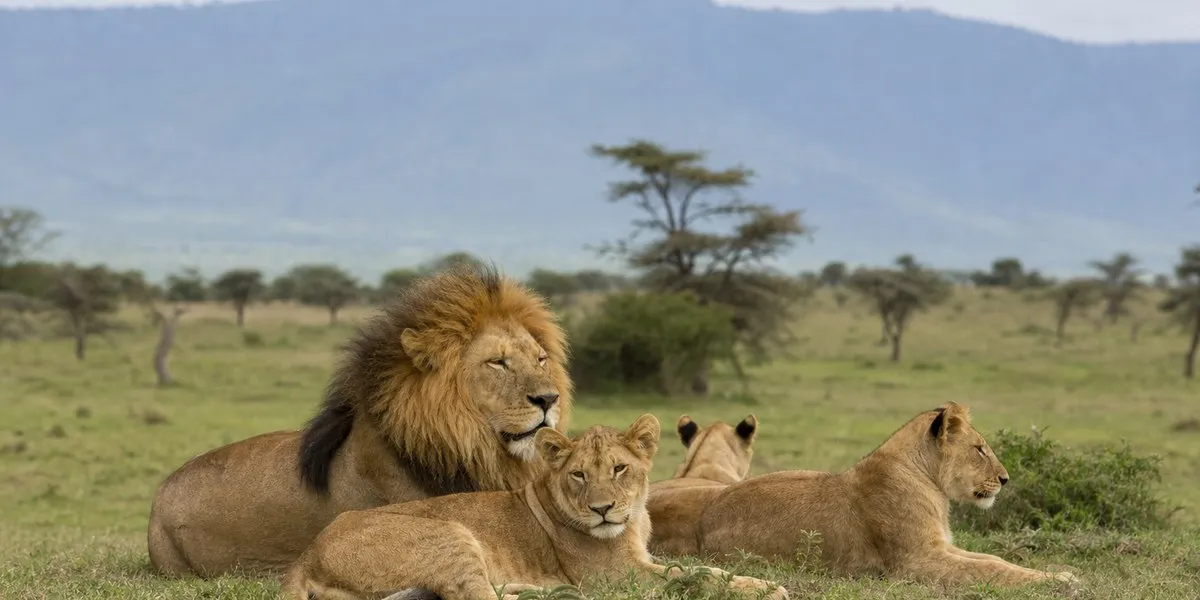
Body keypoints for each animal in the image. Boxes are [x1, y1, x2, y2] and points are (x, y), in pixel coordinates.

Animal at [696, 402, 1079, 587]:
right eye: (980, 449)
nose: (1005, 479)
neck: (931, 484)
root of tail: (703, 522)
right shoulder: (915, 562)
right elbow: (990, 570)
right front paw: (1060, 580)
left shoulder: (941, 547)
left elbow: (995, 560)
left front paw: (1060, 573)